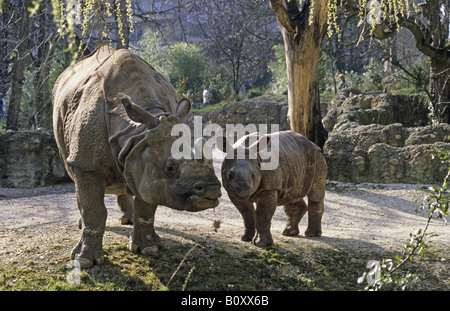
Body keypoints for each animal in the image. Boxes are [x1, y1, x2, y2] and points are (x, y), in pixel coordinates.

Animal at [52, 46, 221, 268]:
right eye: (170, 168)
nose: (212, 190)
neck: (137, 131)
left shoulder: (143, 153)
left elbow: (146, 207)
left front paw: (149, 249)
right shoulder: (87, 162)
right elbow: (94, 210)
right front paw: (84, 260)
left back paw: (128, 219)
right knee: (74, 173)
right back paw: (82, 225)